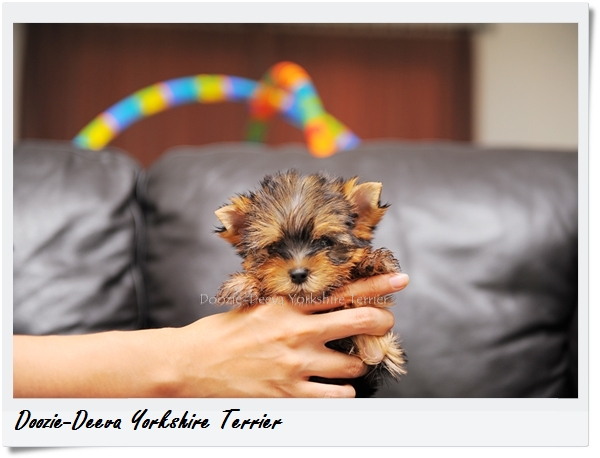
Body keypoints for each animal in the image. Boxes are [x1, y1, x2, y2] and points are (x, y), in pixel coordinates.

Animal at [214, 170, 406, 397]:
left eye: (324, 242)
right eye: (274, 248)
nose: (298, 274)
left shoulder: (378, 352)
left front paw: (372, 262)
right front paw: (243, 284)